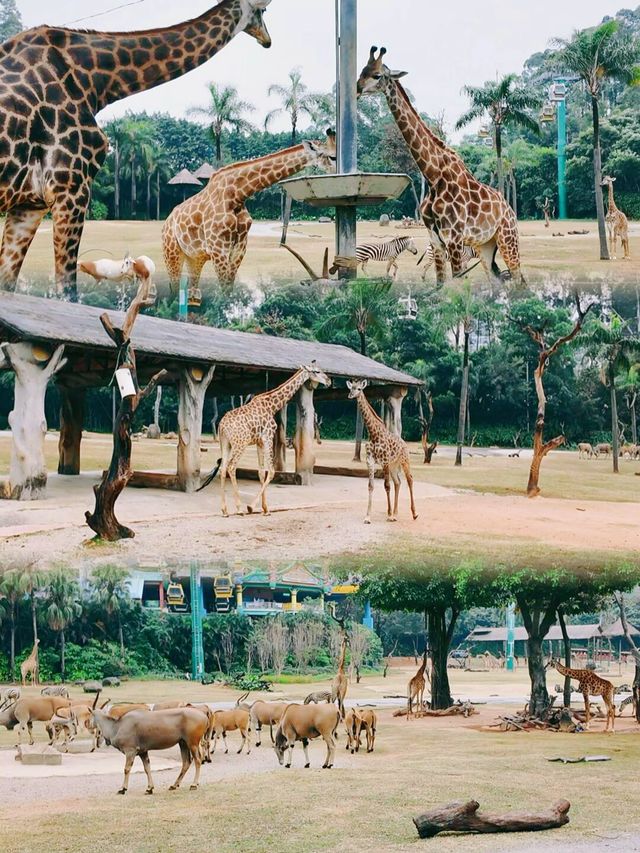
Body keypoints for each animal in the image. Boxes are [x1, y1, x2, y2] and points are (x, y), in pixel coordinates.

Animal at [0, 0, 272, 300]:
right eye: (263, 12)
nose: (268, 40)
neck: (96, 82)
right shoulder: (70, 189)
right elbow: (67, 291)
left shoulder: (29, 204)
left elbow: (8, 282)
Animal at [162, 131, 338, 292]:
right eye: (332, 157)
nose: (338, 174)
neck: (236, 195)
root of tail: (167, 222)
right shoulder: (218, 249)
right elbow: (224, 288)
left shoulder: (239, 248)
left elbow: (229, 287)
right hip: (171, 252)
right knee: (174, 286)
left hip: (194, 256)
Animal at [199, 362, 330, 516]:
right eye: (317, 371)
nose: (329, 381)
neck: (272, 406)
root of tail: (222, 426)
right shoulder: (268, 437)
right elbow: (271, 471)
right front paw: (252, 507)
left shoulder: (259, 442)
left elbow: (261, 472)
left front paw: (265, 508)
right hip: (240, 444)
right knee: (231, 467)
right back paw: (239, 508)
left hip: (225, 443)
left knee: (223, 468)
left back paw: (225, 510)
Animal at [348, 382, 418, 524]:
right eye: (351, 388)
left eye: (359, 388)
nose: (350, 395)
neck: (373, 434)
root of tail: (405, 444)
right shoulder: (370, 461)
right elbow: (371, 486)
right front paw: (368, 517)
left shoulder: (384, 461)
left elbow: (386, 486)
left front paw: (389, 515)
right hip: (393, 465)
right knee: (398, 482)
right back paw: (396, 514)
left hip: (404, 461)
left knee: (409, 480)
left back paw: (414, 514)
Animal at [356, 50, 524, 290]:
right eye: (362, 70)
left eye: (377, 75)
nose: (357, 88)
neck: (433, 175)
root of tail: (510, 210)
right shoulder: (435, 240)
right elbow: (440, 284)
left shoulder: (453, 238)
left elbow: (458, 288)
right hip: (485, 246)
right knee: (498, 282)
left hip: (507, 238)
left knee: (519, 280)